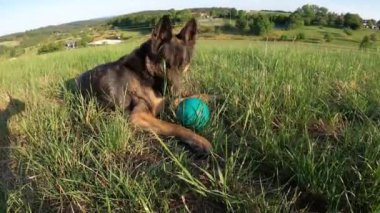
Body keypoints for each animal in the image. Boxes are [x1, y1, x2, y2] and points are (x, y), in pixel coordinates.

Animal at [75, 15, 212, 153]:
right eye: (165, 64)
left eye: (183, 65)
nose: (175, 93)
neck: (147, 72)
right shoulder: (139, 116)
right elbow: (174, 126)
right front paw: (199, 140)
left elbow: (187, 98)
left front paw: (209, 96)